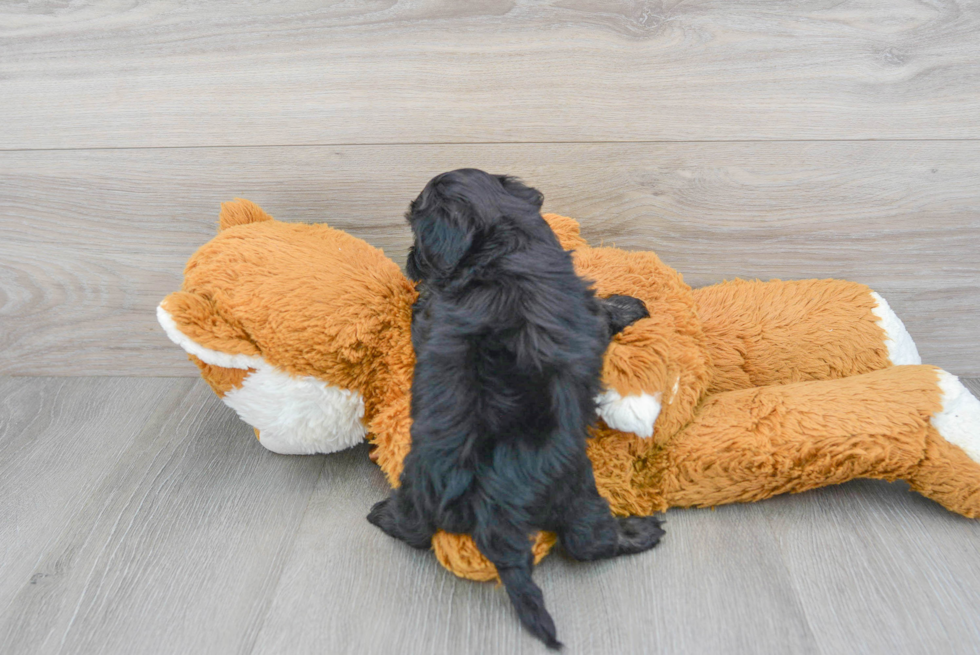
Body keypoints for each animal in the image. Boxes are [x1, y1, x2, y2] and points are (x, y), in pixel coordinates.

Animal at [370, 169, 668, 652]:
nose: (410, 261)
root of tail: (488, 503)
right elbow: (605, 312)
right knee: (588, 541)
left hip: (419, 483)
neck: (501, 242)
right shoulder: (586, 310)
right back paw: (638, 532)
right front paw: (631, 305)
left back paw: (383, 514)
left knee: (414, 530)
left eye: (416, 229)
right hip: (577, 490)